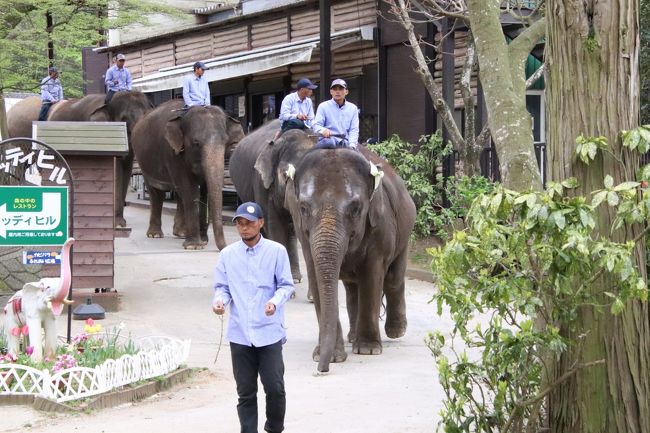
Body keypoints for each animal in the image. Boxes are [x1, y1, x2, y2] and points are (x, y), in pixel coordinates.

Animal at [6, 91, 154, 226]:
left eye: (147, 114)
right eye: (124, 118)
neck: (107, 100)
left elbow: (125, 169)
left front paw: (119, 222)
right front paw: (115, 223)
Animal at [130, 99, 244, 250]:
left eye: (226, 142)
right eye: (196, 142)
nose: (223, 248)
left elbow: (204, 192)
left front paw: (203, 241)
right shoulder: (173, 153)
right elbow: (190, 190)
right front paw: (194, 246)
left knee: (179, 194)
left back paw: (181, 233)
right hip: (144, 162)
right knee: (157, 193)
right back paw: (155, 235)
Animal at [284, 146, 416, 372]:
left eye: (356, 208)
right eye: (303, 208)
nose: (322, 369)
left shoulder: (380, 227)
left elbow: (372, 276)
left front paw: (368, 350)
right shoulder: (305, 234)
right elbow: (316, 275)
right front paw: (329, 356)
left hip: (404, 231)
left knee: (393, 280)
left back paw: (395, 331)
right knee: (353, 289)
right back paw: (352, 337)